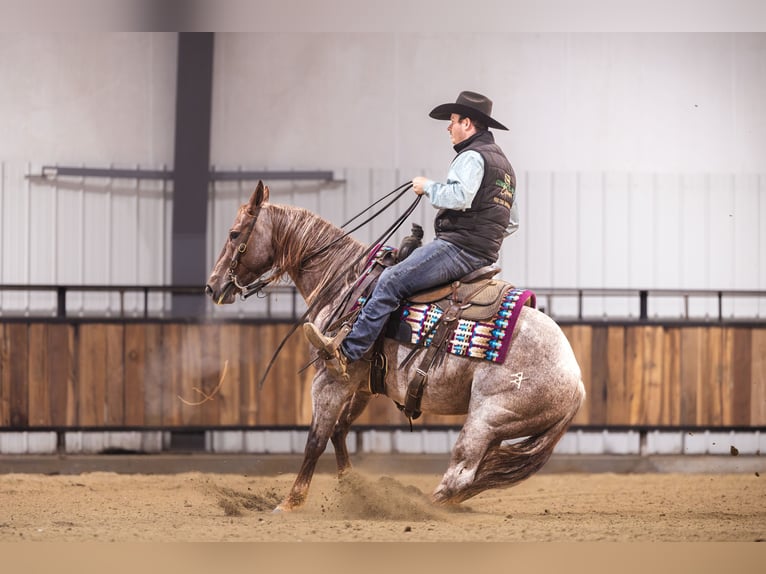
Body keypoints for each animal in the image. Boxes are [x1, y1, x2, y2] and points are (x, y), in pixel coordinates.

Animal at [205, 181, 585, 511]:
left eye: (234, 234)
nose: (212, 286)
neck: (346, 280)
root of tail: (577, 381)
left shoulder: (330, 378)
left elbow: (316, 438)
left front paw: (290, 503)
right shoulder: (362, 384)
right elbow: (339, 431)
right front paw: (350, 486)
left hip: (486, 419)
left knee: (460, 473)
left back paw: (420, 507)